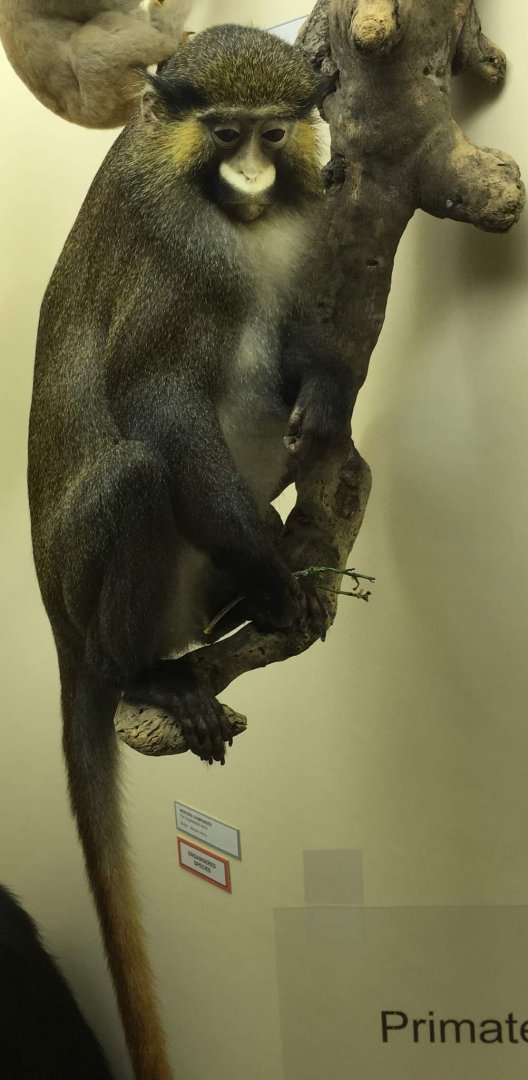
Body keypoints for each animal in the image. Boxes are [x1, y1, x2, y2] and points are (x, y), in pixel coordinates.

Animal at [27, 24, 352, 1078]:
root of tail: (62, 635)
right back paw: (155, 671)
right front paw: (275, 582)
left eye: (273, 131)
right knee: (135, 475)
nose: (252, 172)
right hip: (91, 594)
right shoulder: (182, 263)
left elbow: (300, 351)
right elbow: (160, 407)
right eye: (222, 133)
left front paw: (323, 392)